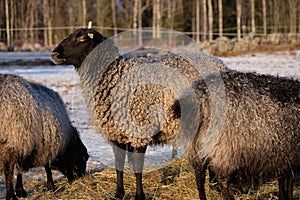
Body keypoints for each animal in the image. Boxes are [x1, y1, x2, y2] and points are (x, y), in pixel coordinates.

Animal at [51, 28, 229, 200]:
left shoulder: (139, 131)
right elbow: (119, 163)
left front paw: (139, 196)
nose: (54, 54)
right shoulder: (116, 134)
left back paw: (215, 185)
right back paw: (214, 185)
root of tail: (219, 63)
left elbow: (137, 166)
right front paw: (118, 194)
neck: (114, 77)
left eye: (81, 38)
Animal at [171, 69, 300, 200]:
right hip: (225, 147)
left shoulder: (284, 156)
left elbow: (284, 180)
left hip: (195, 145)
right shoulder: (289, 155)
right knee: (222, 179)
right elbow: (288, 181)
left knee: (199, 177)